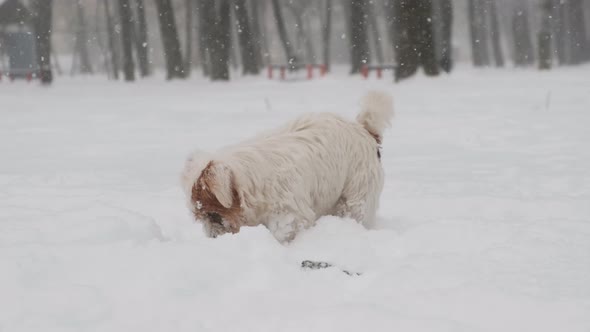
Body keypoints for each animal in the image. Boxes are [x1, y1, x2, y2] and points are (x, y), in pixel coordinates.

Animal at [180, 91, 394, 244]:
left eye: (214, 215)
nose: (214, 239)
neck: (250, 183)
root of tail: (364, 130)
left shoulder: (291, 214)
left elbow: (285, 230)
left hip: (356, 198)